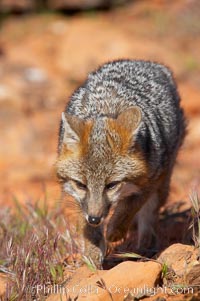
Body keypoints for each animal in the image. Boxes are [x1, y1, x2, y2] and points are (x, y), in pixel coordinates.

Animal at [55, 59, 186, 266]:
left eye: (112, 185)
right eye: (81, 185)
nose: (94, 219)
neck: (105, 107)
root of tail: (143, 62)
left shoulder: (149, 181)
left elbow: (127, 209)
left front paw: (115, 232)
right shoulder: (79, 199)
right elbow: (88, 229)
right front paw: (93, 253)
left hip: (162, 183)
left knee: (148, 222)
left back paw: (143, 251)